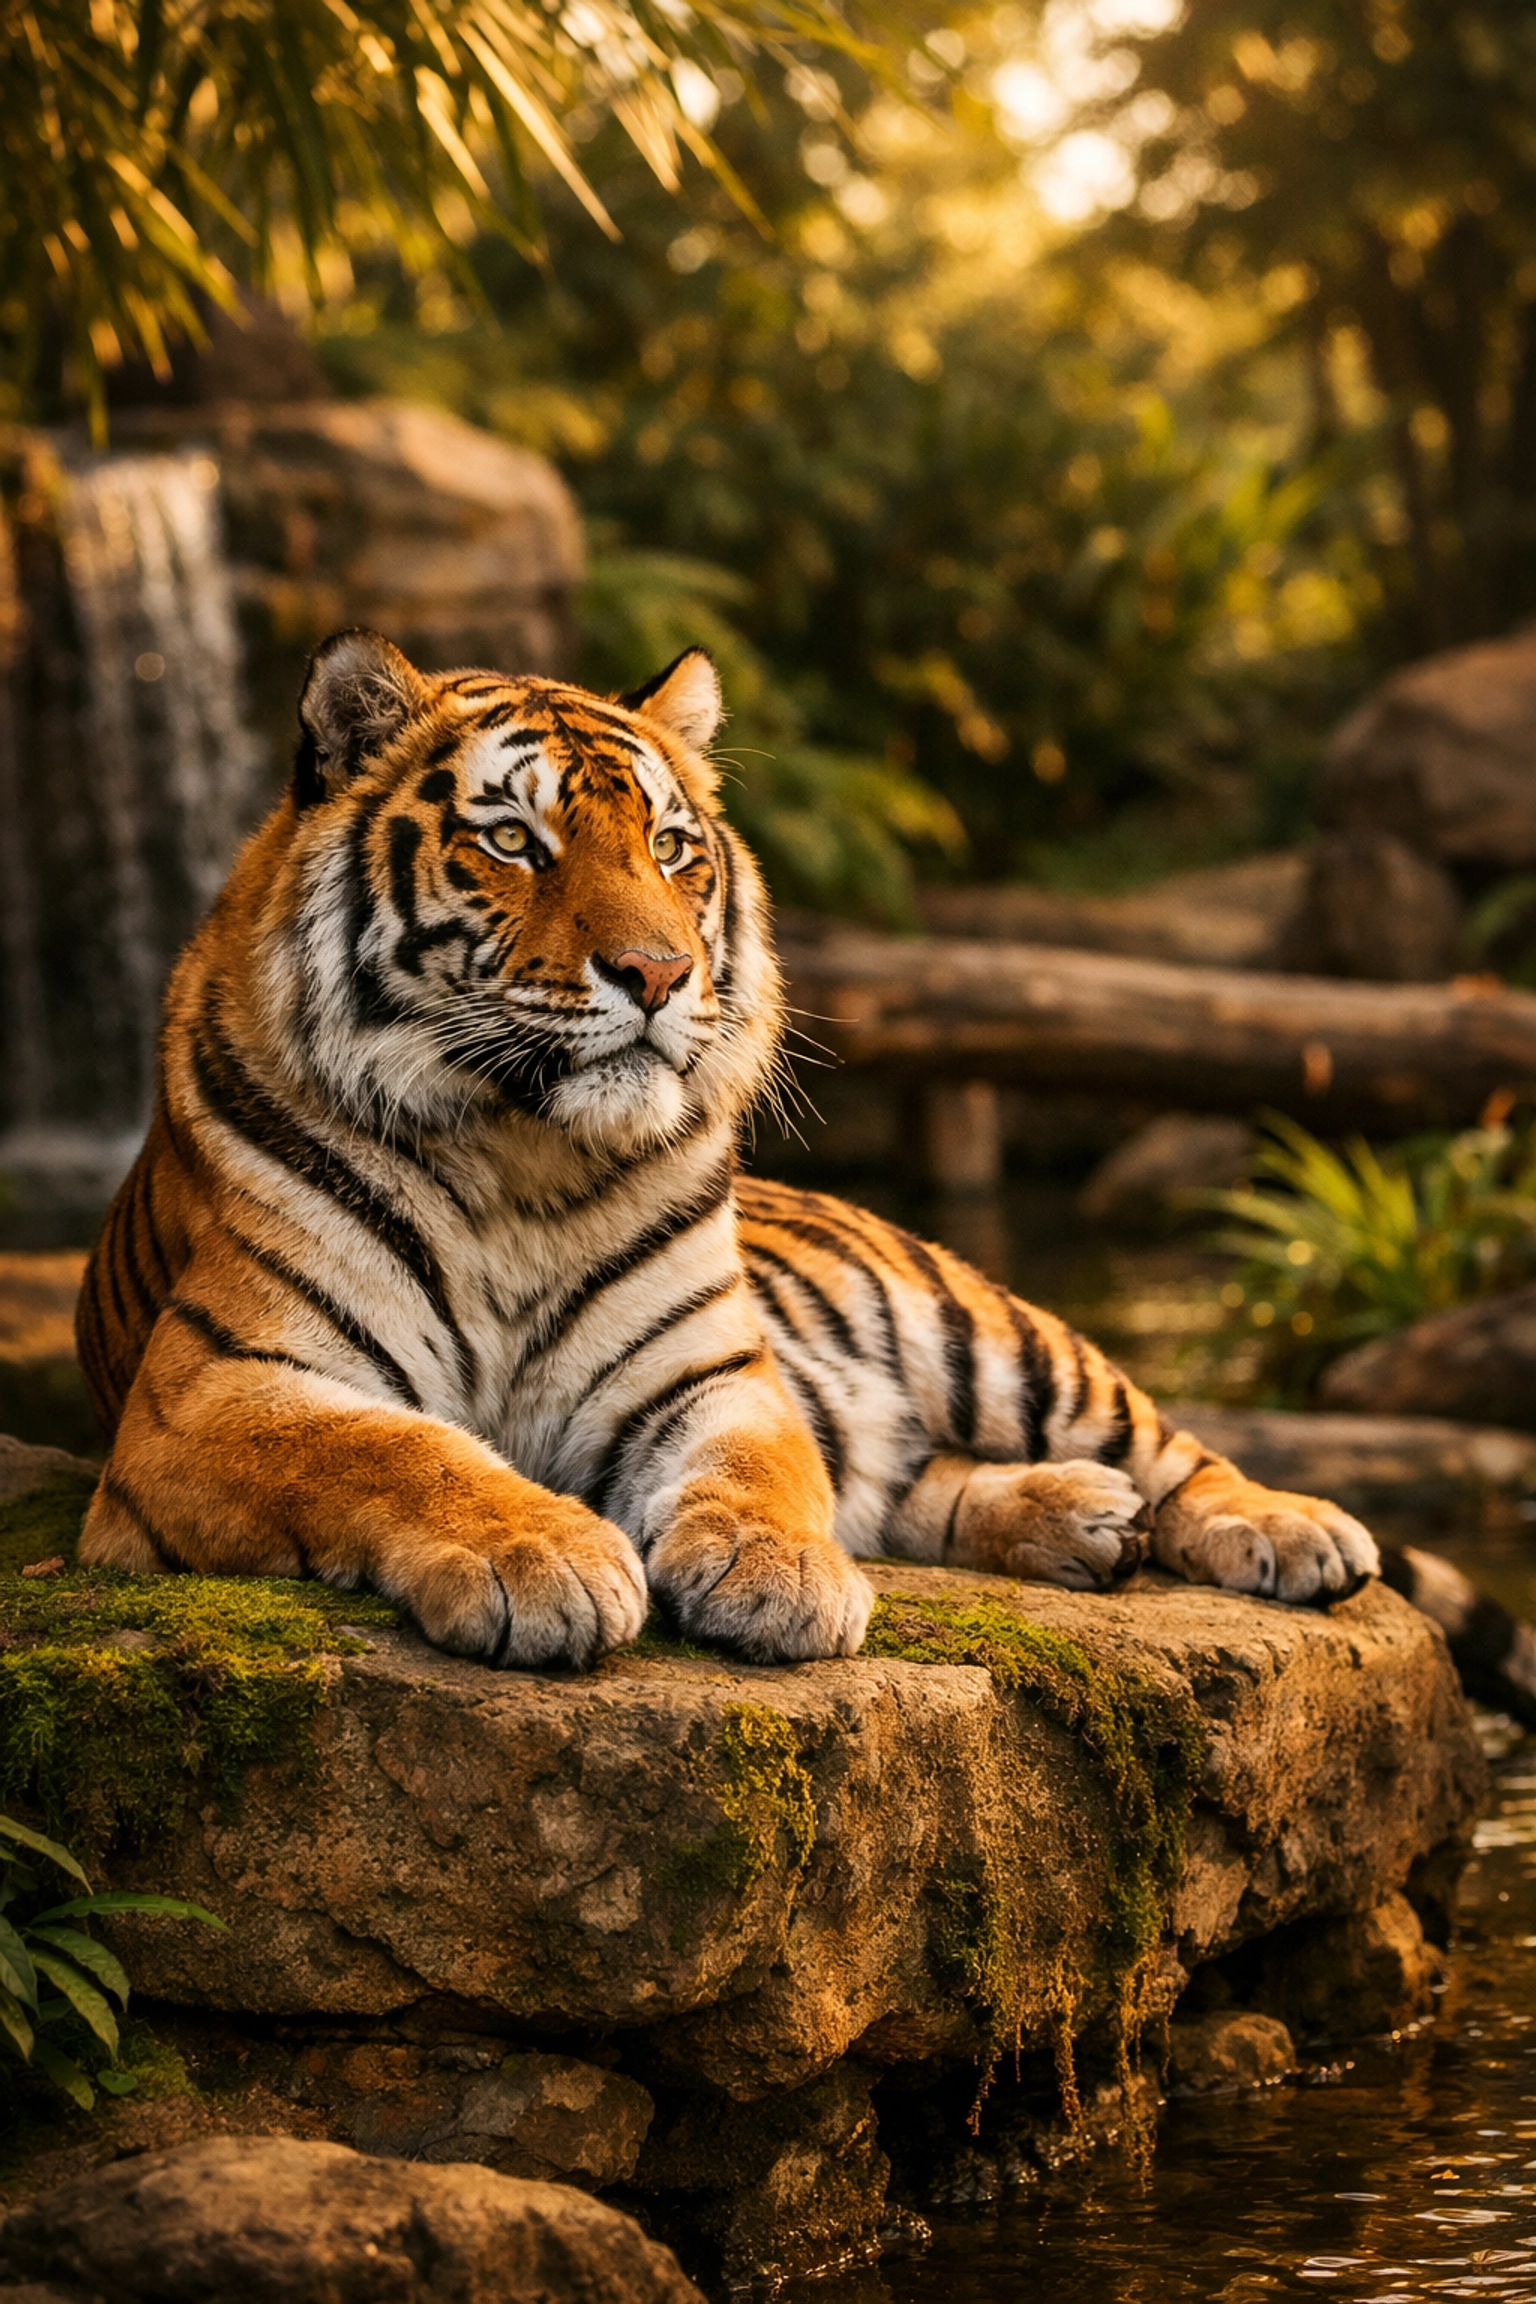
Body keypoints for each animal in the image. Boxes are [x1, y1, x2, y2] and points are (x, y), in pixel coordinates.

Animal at [75, 628, 1380, 1671]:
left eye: (669, 847)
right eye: (515, 842)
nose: (658, 973)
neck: (519, 1158)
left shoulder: (710, 1370)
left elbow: (765, 1468)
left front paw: (774, 1572)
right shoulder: (212, 1392)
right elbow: (394, 1451)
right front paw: (541, 1558)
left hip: (994, 1333)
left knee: (1167, 1445)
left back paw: (1288, 1529)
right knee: (914, 1486)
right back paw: (1082, 1519)